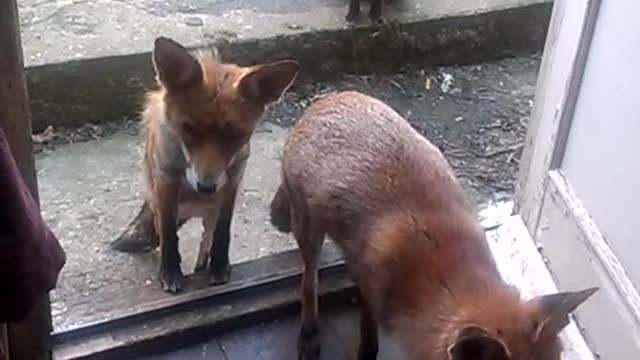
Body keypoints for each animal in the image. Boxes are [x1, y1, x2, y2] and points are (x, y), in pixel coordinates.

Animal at [110, 38, 300, 294]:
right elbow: (169, 235)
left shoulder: (231, 182)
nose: (206, 187)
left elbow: (222, 233)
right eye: (188, 129)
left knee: (205, 243)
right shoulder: (166, 181)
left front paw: (219, 265)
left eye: (235, 136)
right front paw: (170, 272)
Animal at [268, 92, 596, 360]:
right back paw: (309, 332)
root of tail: (328, 99)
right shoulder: (371, 293)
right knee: (308, 282)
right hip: (309, 231)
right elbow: (369, 339)